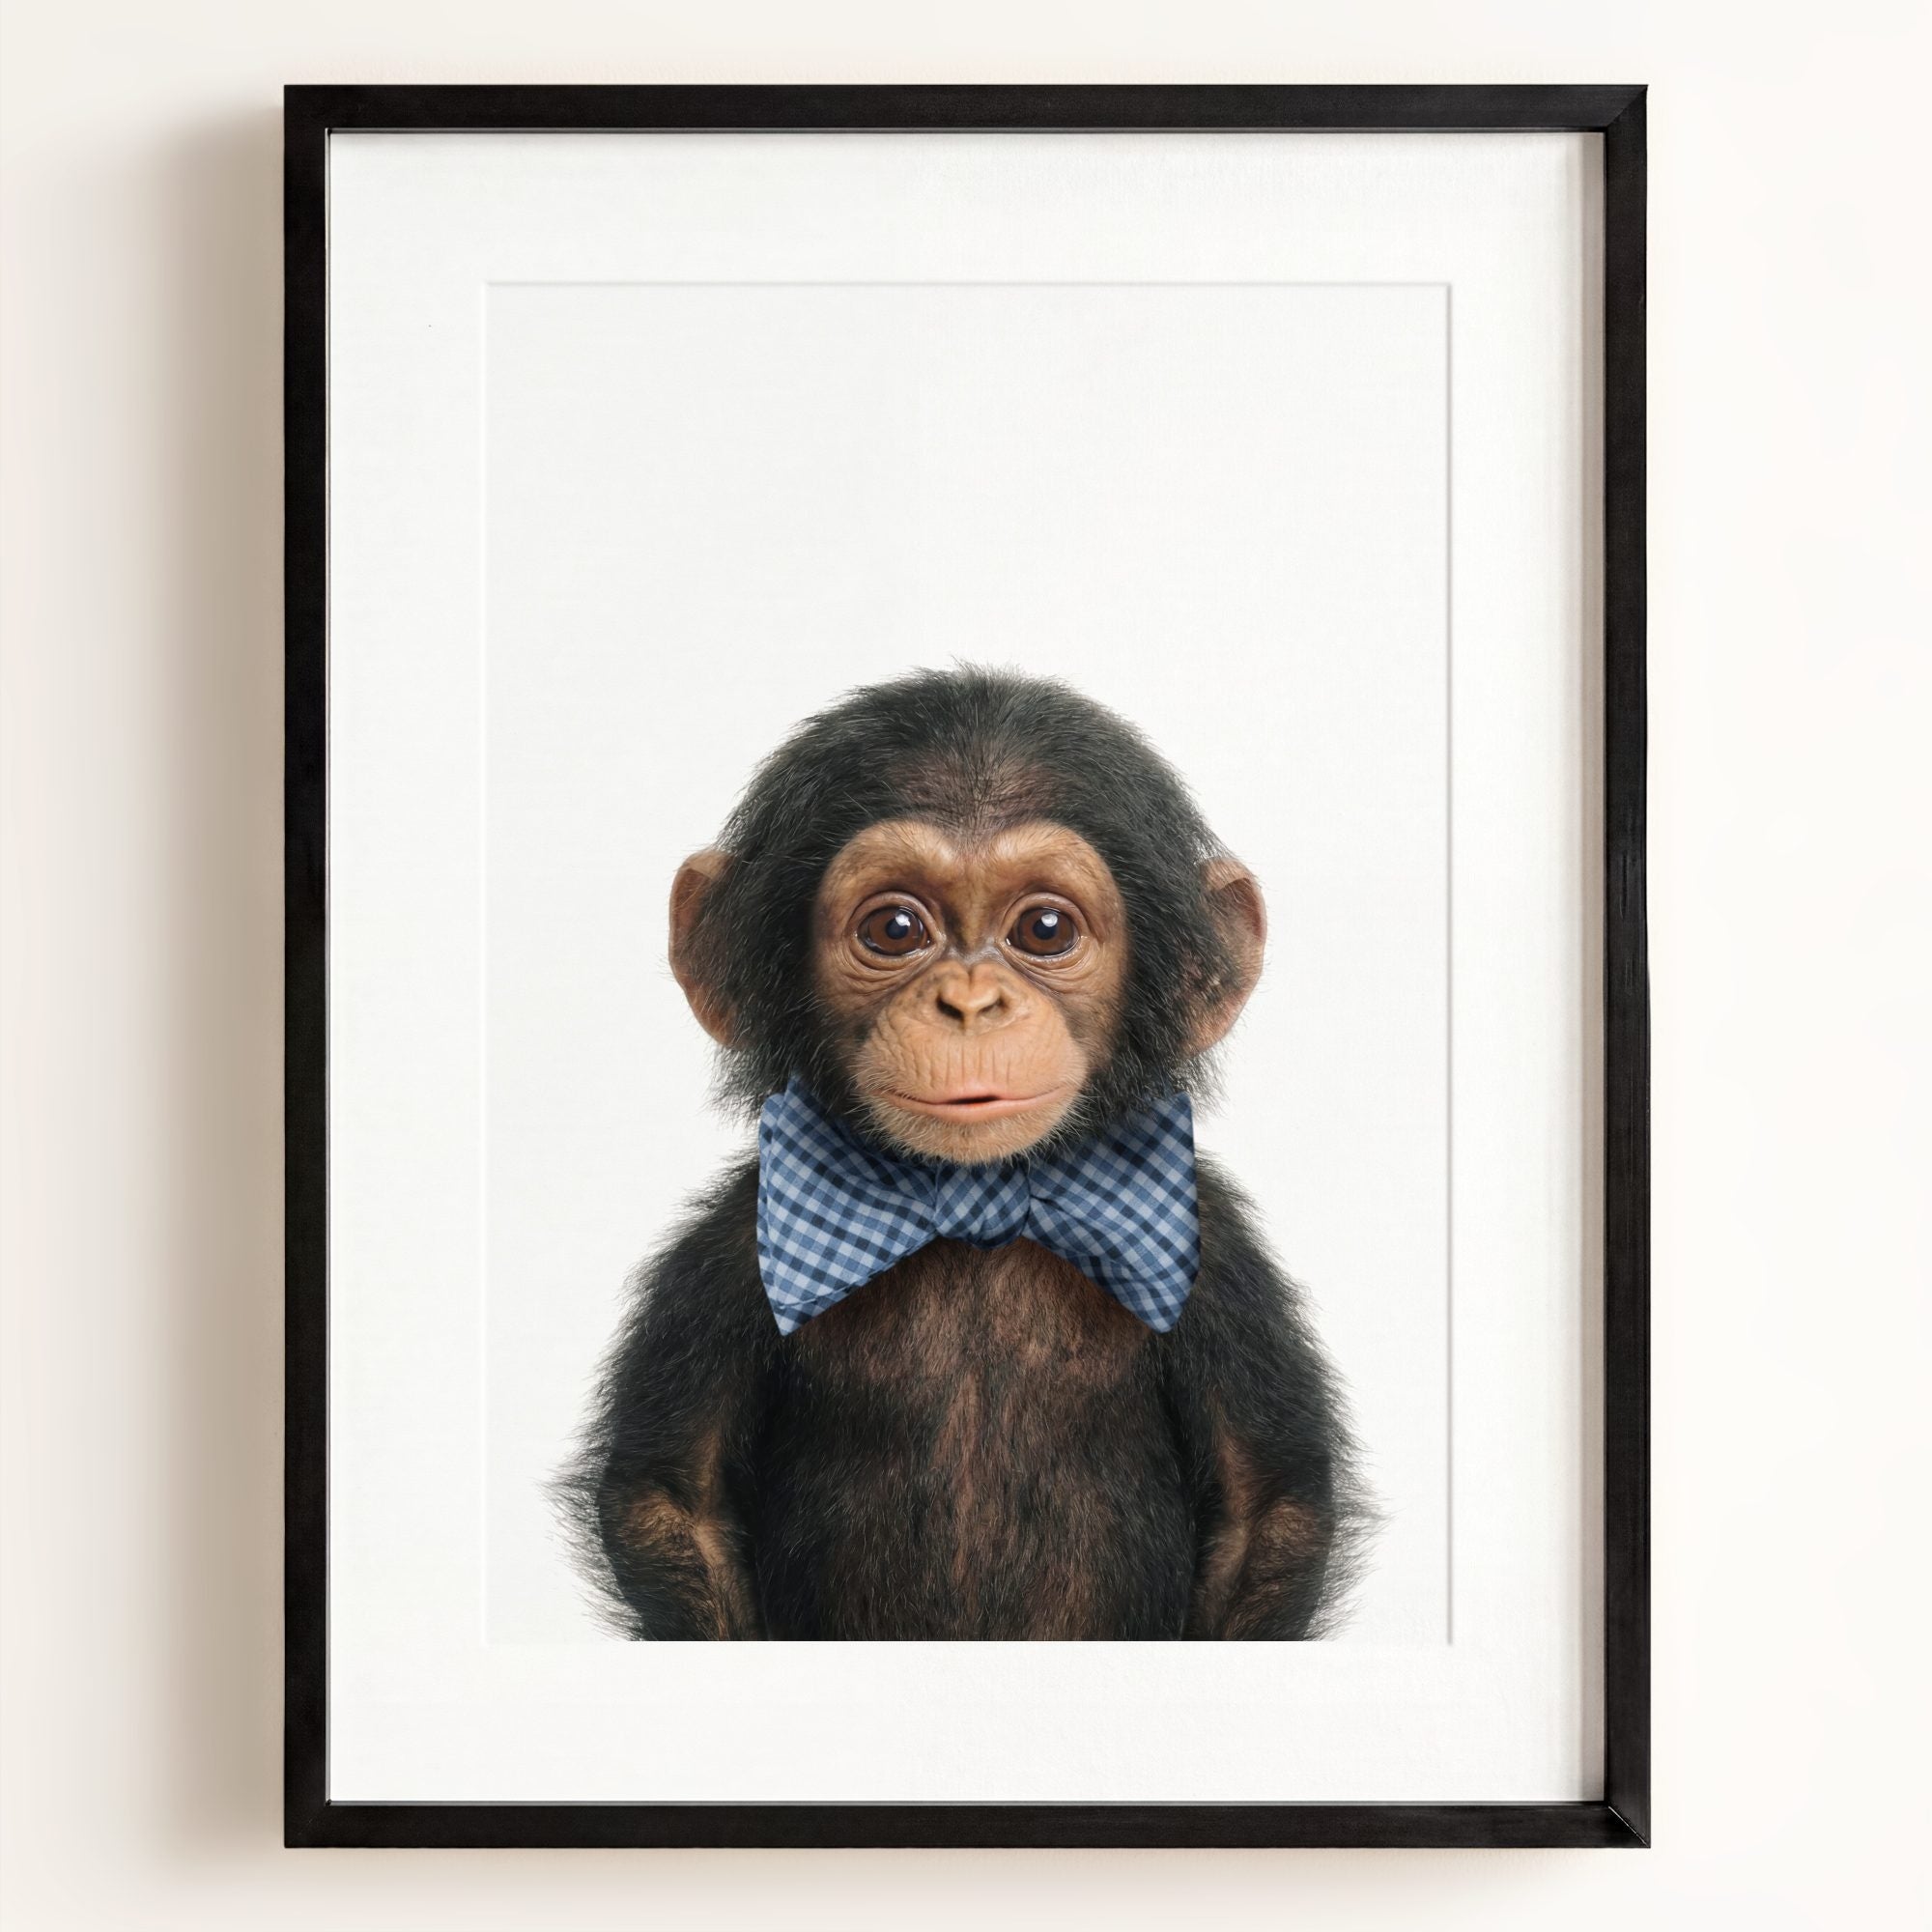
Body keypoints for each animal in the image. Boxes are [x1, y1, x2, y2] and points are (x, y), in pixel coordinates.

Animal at [564, 667, 1365, 1640]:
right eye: (896, 929)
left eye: (1046, 929)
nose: (972, 1003)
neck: (974, 1201)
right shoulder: (724, 1254)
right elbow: (673, 1501)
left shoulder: (1215, 1260)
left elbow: (1267, 1510)